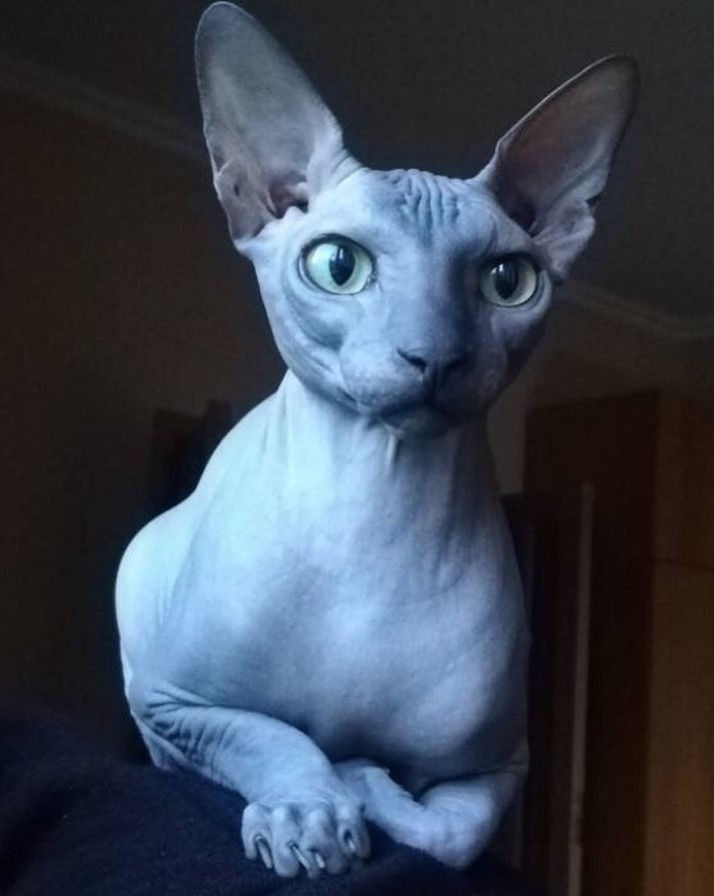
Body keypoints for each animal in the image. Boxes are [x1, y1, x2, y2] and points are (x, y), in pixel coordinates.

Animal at [114, 0, 636, 880]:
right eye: (337, 266)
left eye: (508, 282)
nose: (435, 356)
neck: (375, 505)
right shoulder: (175, 703)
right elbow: (270, 736)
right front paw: (310, 813)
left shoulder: (503, 764)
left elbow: (447, 835)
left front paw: (361, 777)